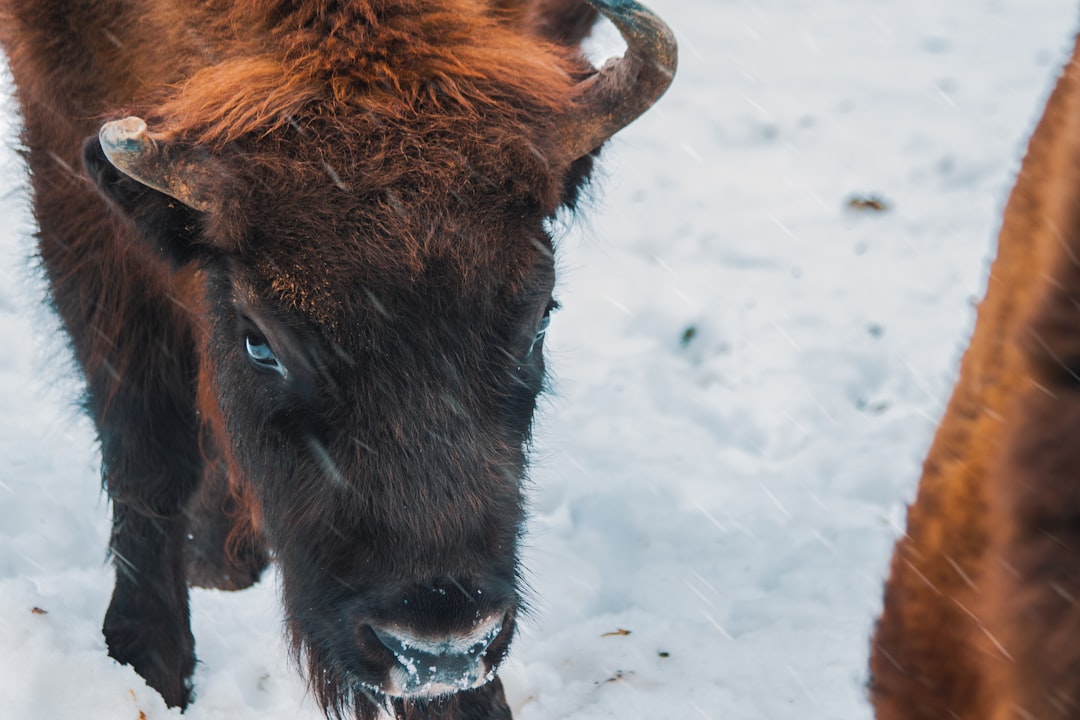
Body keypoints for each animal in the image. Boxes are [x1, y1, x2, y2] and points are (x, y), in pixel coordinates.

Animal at [0, 0, 673, 716]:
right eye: (260, 342)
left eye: (541, 317)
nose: (440, 649)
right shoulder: (64, 151)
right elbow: (145, 438)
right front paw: (146, 665)